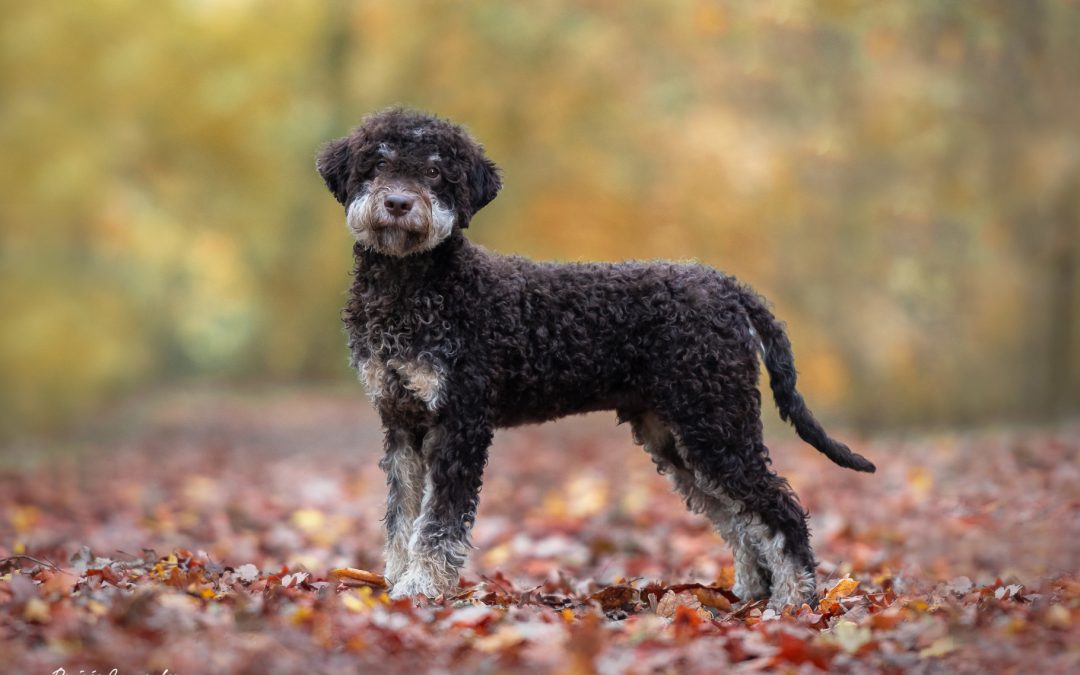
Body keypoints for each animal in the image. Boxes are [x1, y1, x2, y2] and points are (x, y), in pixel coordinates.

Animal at [315, 108, 872, 609]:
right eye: (376, 162)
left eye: (435, 171)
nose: (398, 202)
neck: (413, 287)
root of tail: (729, 288)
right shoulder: (401, 423)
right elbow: (401, 515)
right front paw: (395, 579)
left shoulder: (460, 423)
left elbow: (437, 522)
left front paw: (421, 587)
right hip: (678, 437)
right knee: (740, 518)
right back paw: (754, 593)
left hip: (716, 426)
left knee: (779, 508)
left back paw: (795, 599)